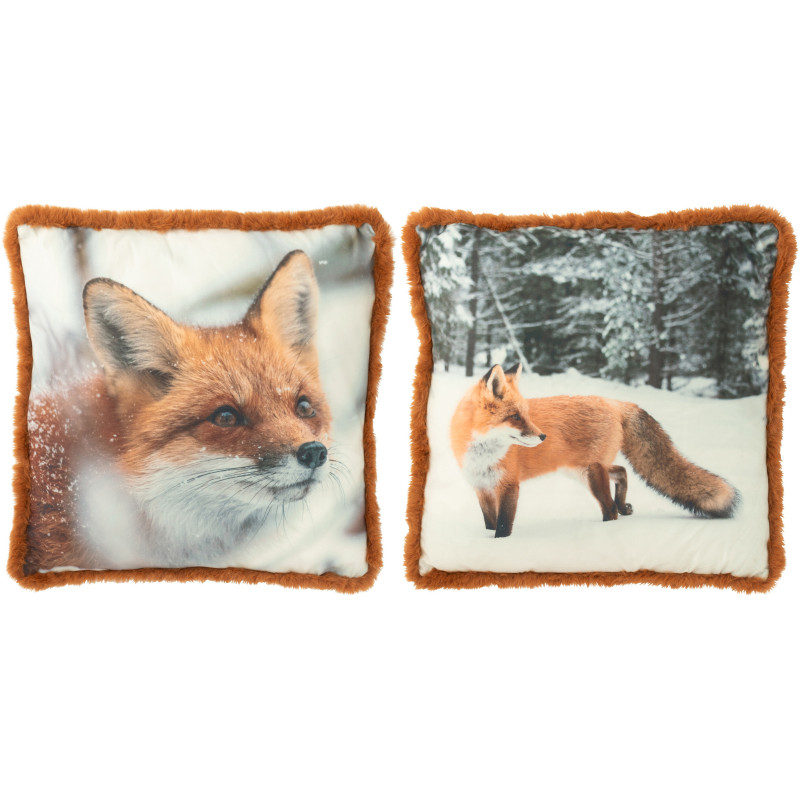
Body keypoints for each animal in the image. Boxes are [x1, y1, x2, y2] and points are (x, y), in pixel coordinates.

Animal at [450, 363, 739, 538]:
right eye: (515, 417)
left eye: (526, 415)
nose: (543, 436)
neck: (482, 455)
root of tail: (614, 402)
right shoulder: (481, 488)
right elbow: (489, 522)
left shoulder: (509, 485)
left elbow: (502, 526)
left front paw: (500, 545)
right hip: (580, 470)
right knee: (622, 471)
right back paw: (623, 505)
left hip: (590, 474)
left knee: (609, 508)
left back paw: (608, 525)